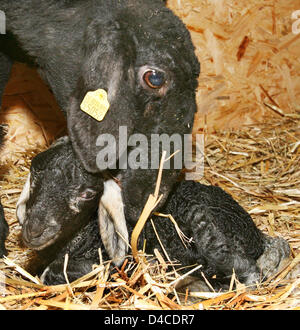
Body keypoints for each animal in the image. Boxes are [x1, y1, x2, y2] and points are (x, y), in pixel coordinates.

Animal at [18, 137, 290, 288]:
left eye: (87, 193)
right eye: (35, 176)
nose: (33, 231)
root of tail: (254, 233)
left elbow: (53, 272)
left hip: (208, 227)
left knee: (248, 271)